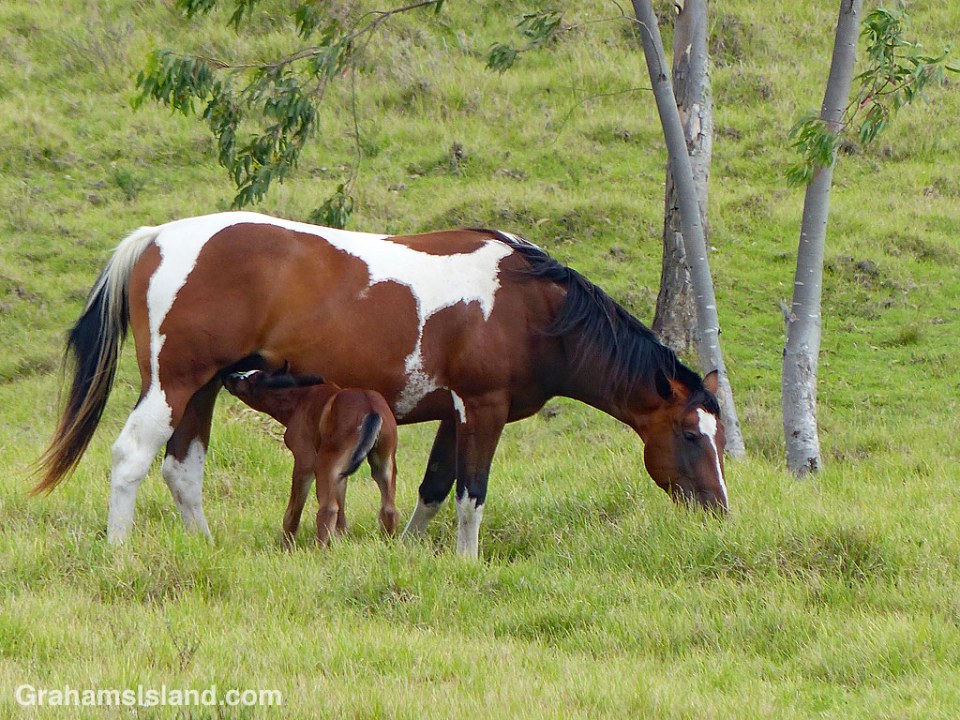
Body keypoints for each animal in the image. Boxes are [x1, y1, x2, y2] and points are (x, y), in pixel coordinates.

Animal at [221, 366, 398, 547]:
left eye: (246, 379)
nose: (228, 375)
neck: (301, 399)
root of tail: (371, 410)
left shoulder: (304, 461)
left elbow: (293, 511)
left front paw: (287, 546)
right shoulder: (341, 472)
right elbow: (341, 509)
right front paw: (339, 543)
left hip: (324, 465)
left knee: (328, 509)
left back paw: (318, 550)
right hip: (383, 464)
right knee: (388, 508)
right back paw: (388, 545)